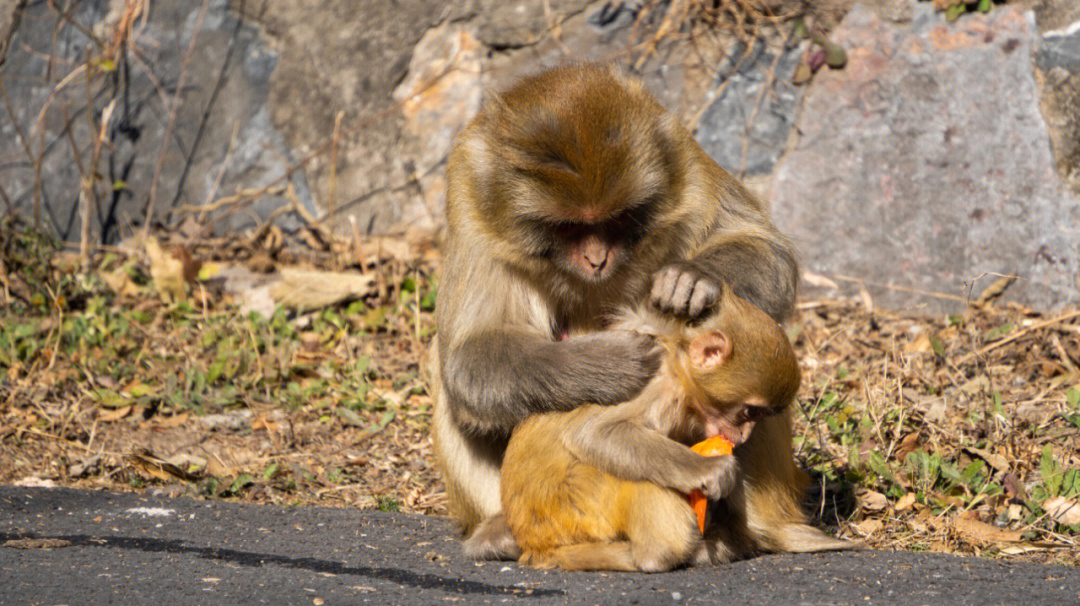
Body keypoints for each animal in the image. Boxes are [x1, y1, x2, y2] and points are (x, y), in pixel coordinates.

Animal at [432, 62, 803, 557]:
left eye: (616, 220)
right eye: (569, 228)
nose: (597, 259)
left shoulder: (678, 158)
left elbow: (764, 245)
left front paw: (693, 278)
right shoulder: (472, 203)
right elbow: (469, 355)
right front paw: (605, 363)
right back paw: (500, 529)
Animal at [501, 285, 846, 570]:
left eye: (759, 415)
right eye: (750, 411)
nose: (745, 435)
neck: (679, 369)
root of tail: (533, 543)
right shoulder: (654, 385)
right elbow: (594, 433)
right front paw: (712, 470)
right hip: (573, 506)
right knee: (634, 474)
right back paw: (659, 554)